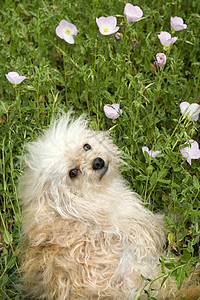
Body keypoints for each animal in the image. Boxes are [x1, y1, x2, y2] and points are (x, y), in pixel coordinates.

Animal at [18, 113, 198, 300]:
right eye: (73, 173)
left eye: (86, 146)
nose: (97, 162)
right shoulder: (141, 227)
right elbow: (165, 224)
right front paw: (180, 212)